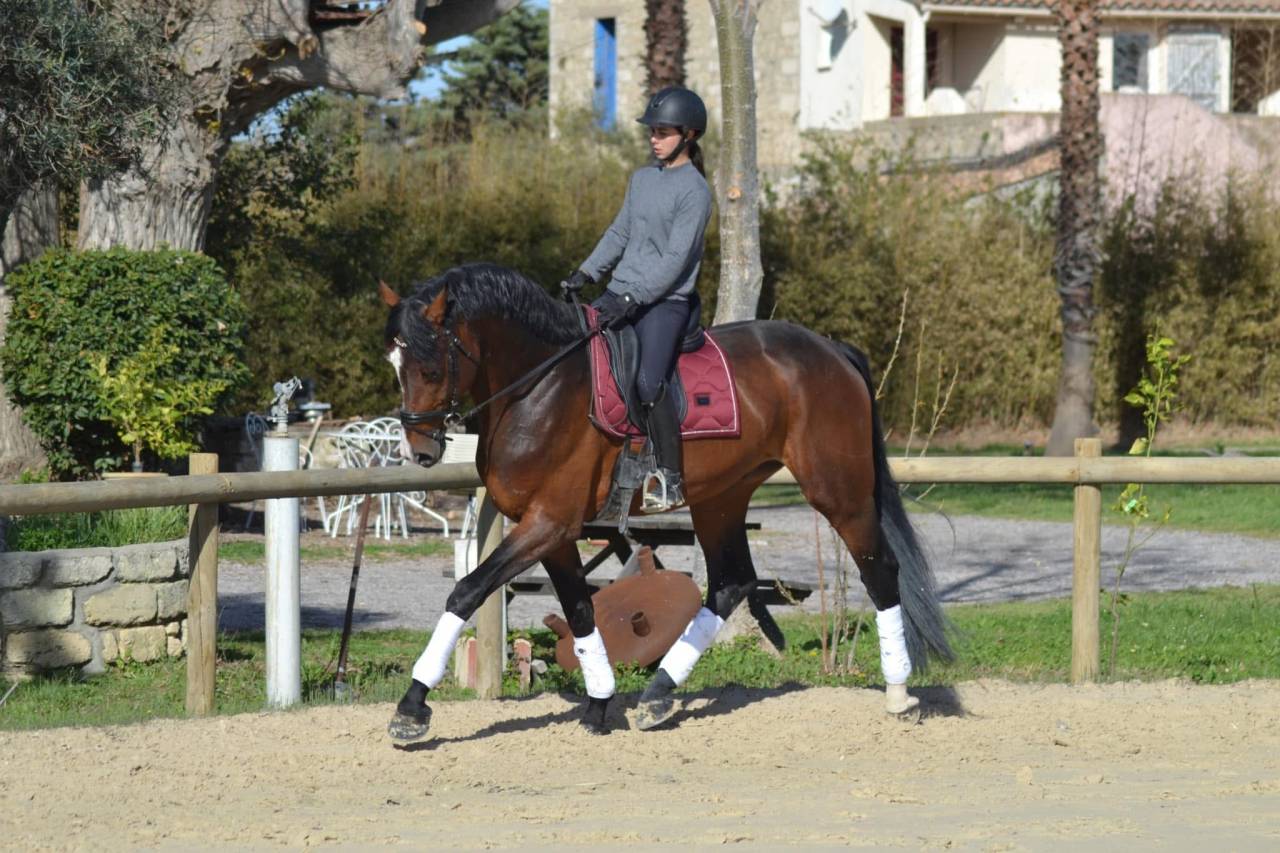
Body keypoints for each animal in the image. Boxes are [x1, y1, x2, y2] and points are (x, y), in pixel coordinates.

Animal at [380, 262, 953, 741]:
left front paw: (411, 710)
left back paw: (899, 695)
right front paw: (599, 705)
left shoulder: (548, 522)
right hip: (722, 497)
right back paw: (657, 697)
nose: (420, 451)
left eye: (431, 367)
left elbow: (467, 592)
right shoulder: (551, 530)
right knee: (730, 585)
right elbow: (581, 611)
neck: (540, 387)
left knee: (879, 570)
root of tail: (833, 350)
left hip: (839, 492)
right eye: (394, 362)